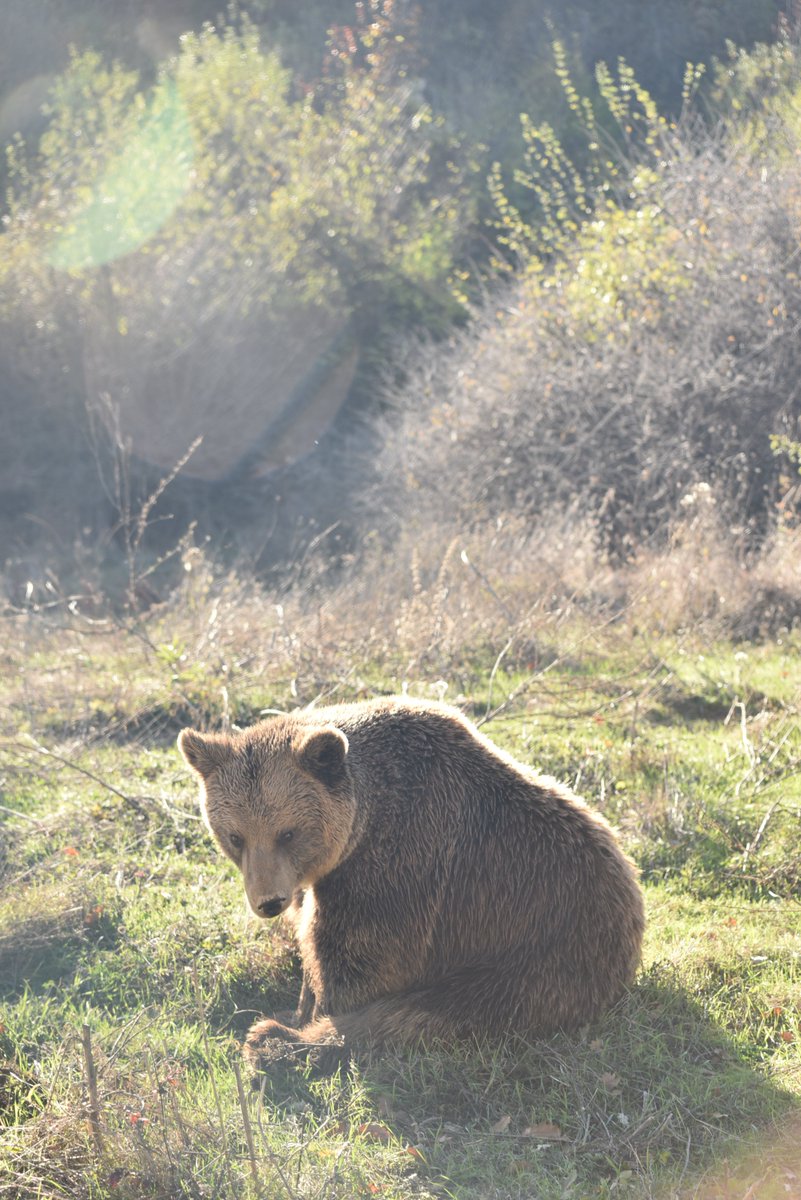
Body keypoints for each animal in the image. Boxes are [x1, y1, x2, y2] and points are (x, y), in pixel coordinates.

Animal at [178, 696, 644, 1065]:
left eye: (287, 832)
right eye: (235, 836)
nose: (269, 902)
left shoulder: (398, 863)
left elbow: (359, 962)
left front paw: (303, 1019)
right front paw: (301, 1005)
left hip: (537, 954)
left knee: (421, 1017)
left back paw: (275, 1043)